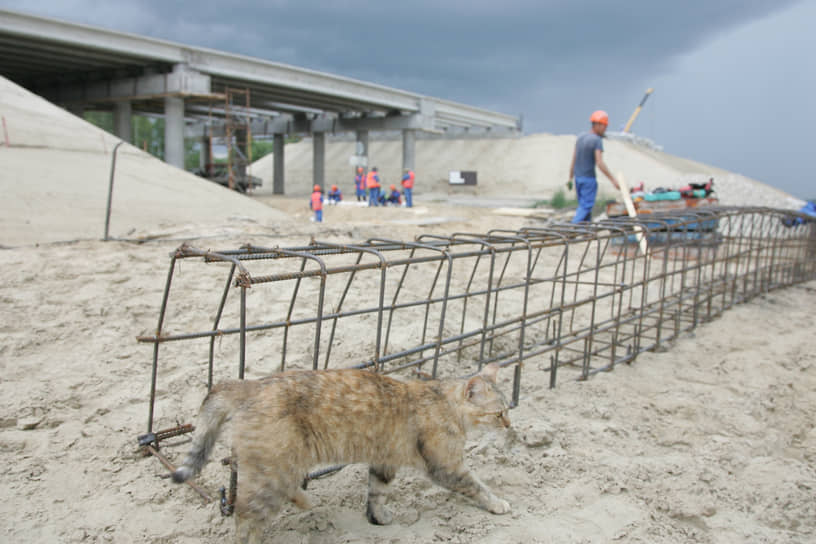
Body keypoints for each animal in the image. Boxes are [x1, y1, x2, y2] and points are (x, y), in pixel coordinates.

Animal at [174, 364, 510, 540]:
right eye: (498, 414)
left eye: (507, 410)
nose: (510, 425)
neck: (443, 401)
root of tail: (249, 385)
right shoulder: (446, 466)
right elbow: (477, 486)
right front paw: (498, 503)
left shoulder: (383, 460)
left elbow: (376, 493)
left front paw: (378, 517)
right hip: (271, 472)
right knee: (245, 520)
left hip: (281, 464)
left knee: (284, 490)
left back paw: (307, 501)